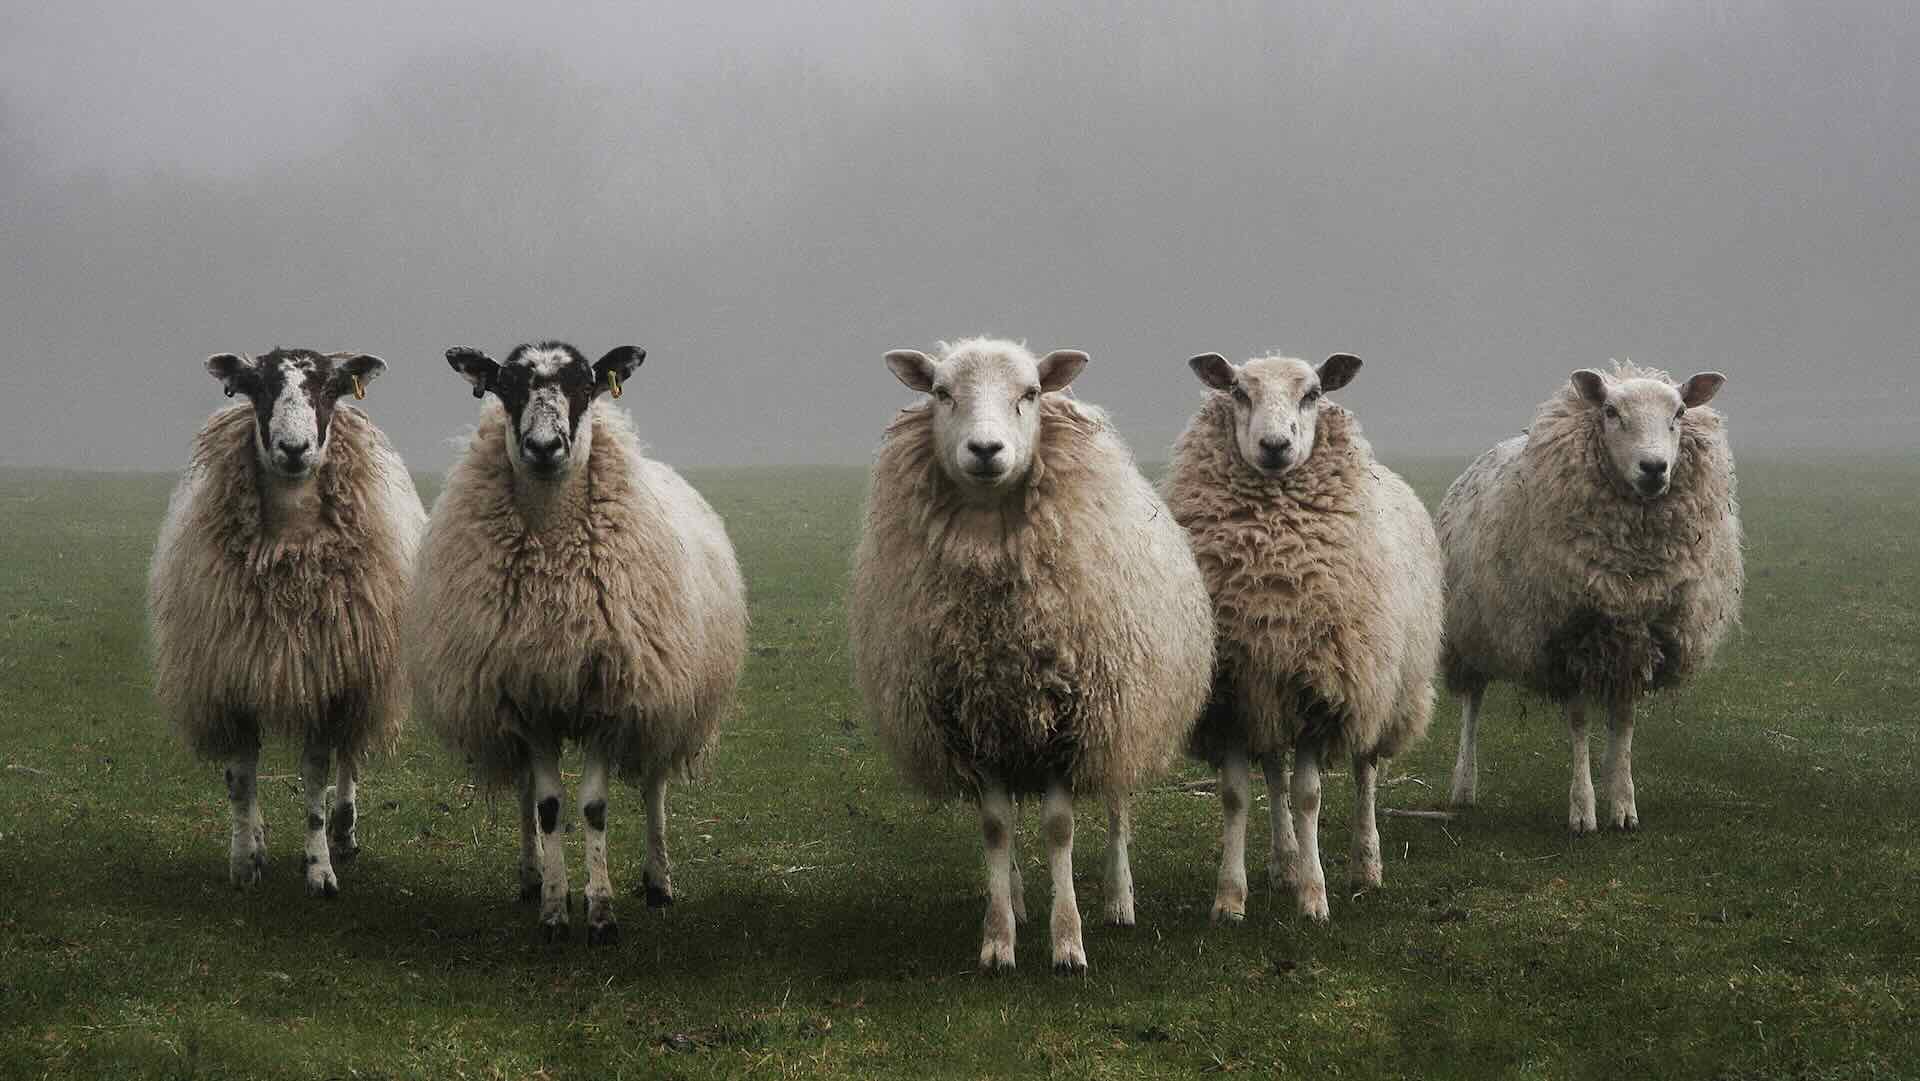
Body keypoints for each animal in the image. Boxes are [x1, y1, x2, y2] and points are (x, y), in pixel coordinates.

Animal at [148, 348, 425, 898]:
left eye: (329, 388)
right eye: (258, 386)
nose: (294, 449)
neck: (289, 549)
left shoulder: (327, 678)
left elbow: (316, 778)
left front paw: (319, 868)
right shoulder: (231, 676)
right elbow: (240, 778)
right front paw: (243, 860)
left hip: (361, 673)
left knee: (349, 756)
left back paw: (344, 832)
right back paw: (258, 837)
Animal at [408, 341, 747, 945]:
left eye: (586, 385)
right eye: (507, 386)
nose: (544, 448)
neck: (553, 561)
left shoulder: (610, 699)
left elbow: (593, 809)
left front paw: (602, 912)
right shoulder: (528, 700)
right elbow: (547, 806)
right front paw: (553, 908)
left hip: (664, 693)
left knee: (654, 785)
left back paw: (658, 882)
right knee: (526, 790)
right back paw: (531, 878)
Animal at [850, 337, 1214, 973]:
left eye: (1032, 392)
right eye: (942, 392)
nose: (985, 450)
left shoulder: (1073, 721)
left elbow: (1060, 828)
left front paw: (1068, 941)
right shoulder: (974, 720)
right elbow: (997, 828)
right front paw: (998, 940)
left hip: (1123, 712)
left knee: (1118, 805)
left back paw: (1119, 900)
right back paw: (1018, 900)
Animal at [1161, 352, 1444, 923]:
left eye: (1313, 393)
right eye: (1238, 392)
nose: (1275, 445)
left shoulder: (1324, 690)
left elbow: (1310, 794)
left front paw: (1315, 898)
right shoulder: (1234, 694)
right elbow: (1236, 796)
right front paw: (1231, 899)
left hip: (1380, 689)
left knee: (1364, 772)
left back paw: (1365, 865)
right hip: (1269, 698)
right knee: (1274, 773)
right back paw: (1284, 862)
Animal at [1439, 361, 1741, 833]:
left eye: (1678, 413)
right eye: (1611, 412)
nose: (1654, 468)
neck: (1633, 567)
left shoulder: (1637, 643)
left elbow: (1625, 723)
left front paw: (1623, 803)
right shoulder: (1569, 640)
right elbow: (1579, 723)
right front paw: (1583, 810)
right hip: (1468, 630)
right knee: (1473, 702)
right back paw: (1464, 786)